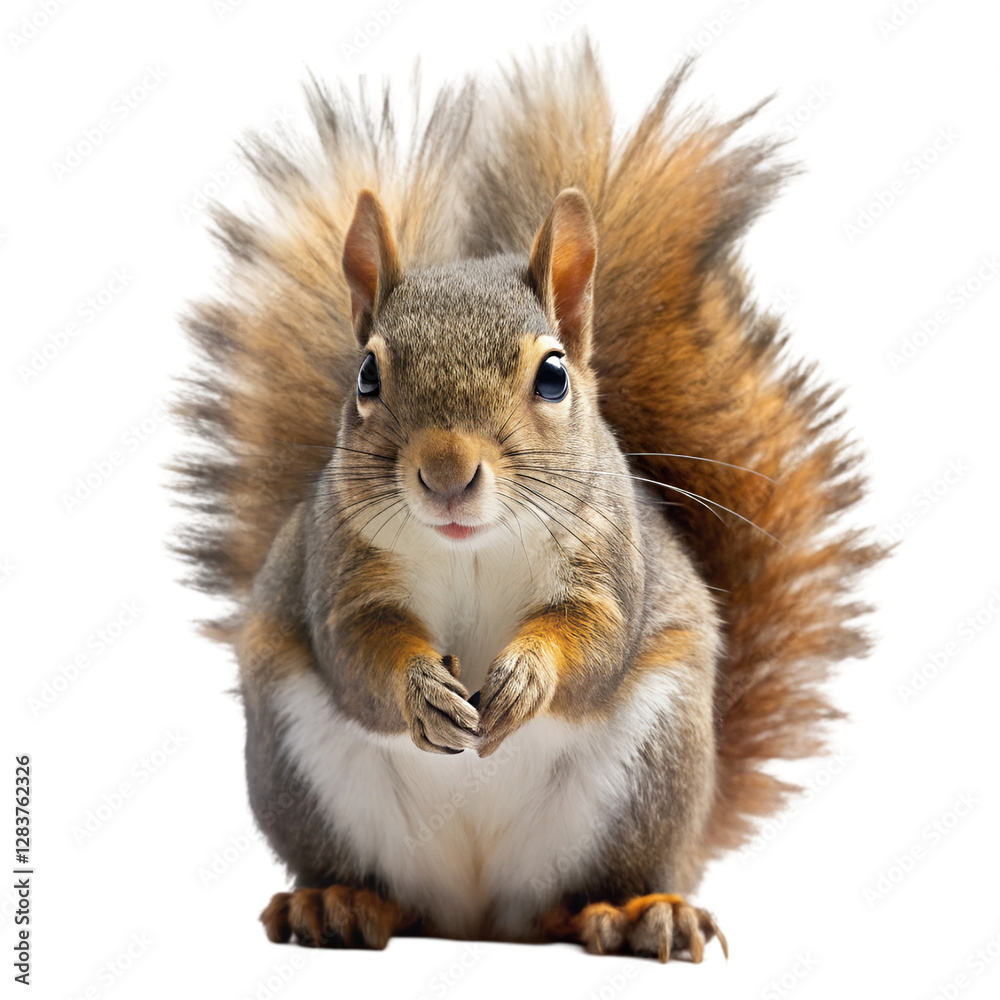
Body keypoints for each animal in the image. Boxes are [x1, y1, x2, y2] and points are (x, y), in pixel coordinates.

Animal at [172, 39, 881, 962]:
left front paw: (527, 676)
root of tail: (476, 916)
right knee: (384, 890)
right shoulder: (337, 569)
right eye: (365, 373)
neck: (472, 546)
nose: (446, 473)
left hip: (649, 774)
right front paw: (419, 690)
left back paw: (634, 912)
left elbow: (597, 636)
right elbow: (356, 649)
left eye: (552, 375)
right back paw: (336, 903)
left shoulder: (611, 559)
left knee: (576, 900)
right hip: (303, 769)